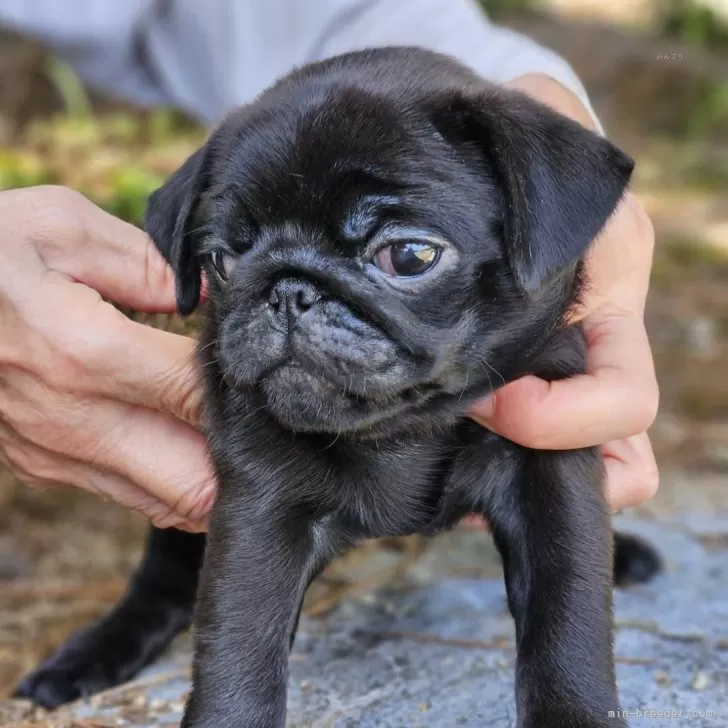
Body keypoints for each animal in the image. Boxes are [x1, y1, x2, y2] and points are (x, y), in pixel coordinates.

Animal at [19, 48, 664, 724]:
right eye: (222, 260)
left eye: (408, 256)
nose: (288, 289)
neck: (404, 428)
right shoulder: (261, 504)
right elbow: (237, 653)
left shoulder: (552, 471)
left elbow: (567, 620)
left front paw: (575, 709)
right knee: (163, 575)